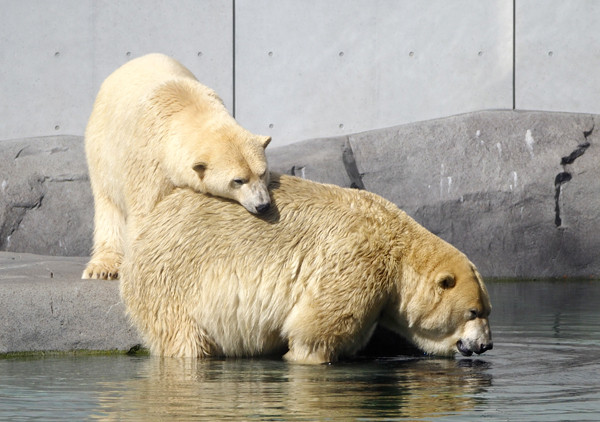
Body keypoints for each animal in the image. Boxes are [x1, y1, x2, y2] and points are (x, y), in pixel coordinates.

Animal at [82, 54, 270, 282]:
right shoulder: (148, 162)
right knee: (109, 204)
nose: (263, 205)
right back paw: (103, 267)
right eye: (238, 180)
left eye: (262, 173)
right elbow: (146, 214)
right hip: (102, 149)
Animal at [119, 172, 494, 362]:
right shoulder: (356, 261)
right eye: (473, 312)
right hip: (173, 282)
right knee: (185, 339)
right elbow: (315, 331)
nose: (486, 345)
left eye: (487, 310)